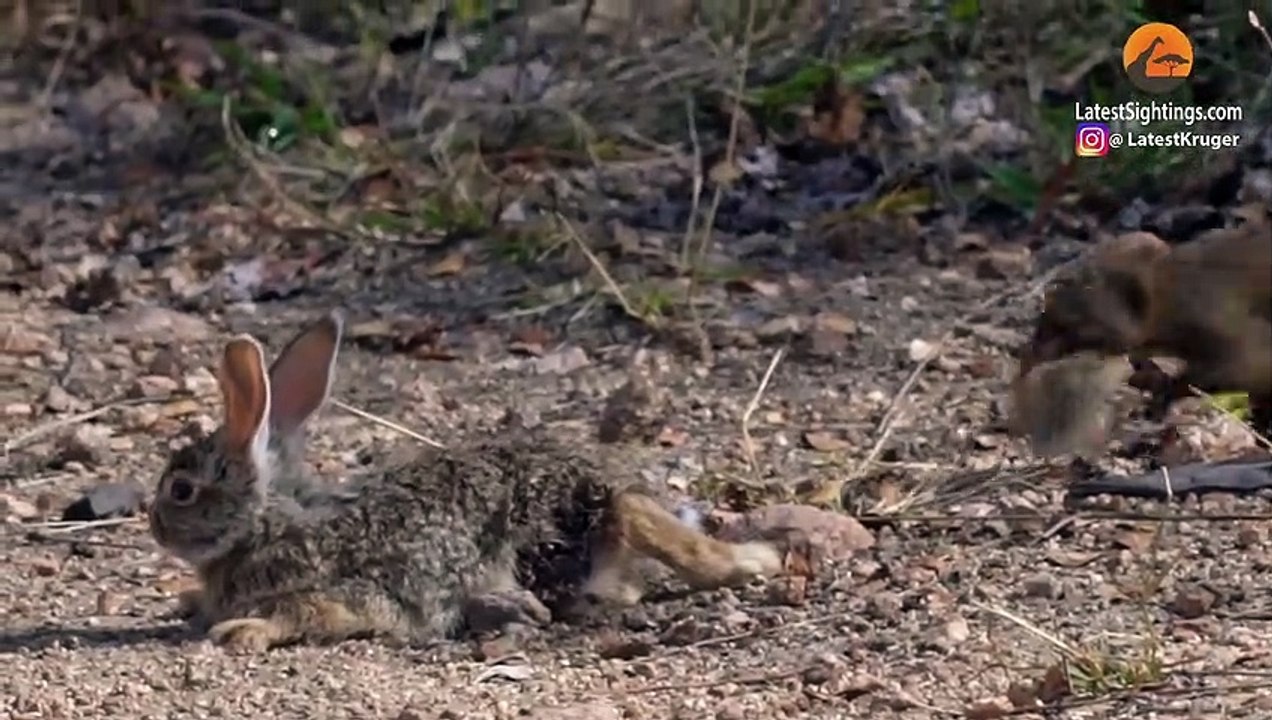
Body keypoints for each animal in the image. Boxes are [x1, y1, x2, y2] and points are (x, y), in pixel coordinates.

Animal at [149, 310, 786, 653]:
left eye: (181, 490)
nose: (154, 525)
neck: (267, 524)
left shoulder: (346, 592)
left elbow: (306, 613)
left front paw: (243, 629)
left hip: (584, 523)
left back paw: (755, 561)